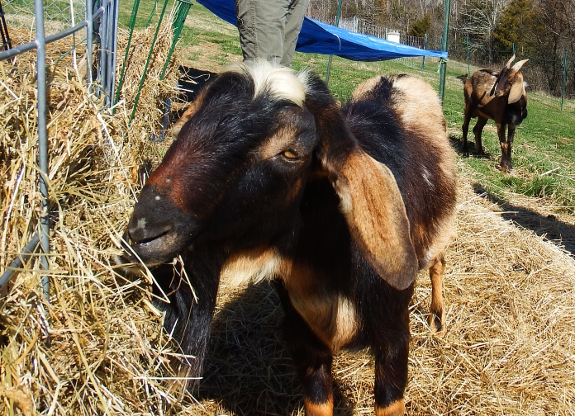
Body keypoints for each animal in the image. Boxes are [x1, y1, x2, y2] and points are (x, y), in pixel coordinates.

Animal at [118, 60, 460, 414]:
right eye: (189, 119)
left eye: (291, 152)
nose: (144, 231)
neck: (333, 259)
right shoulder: (303, 336)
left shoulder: (394, 336)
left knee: (438, 263)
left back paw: (438, 319)